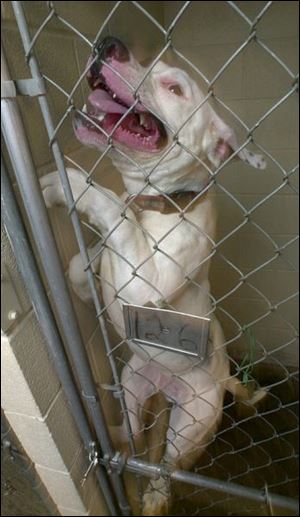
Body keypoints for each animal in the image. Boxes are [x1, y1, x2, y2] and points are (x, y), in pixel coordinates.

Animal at [40, 36, 268, 512]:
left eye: (174, 88)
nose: (108, 43)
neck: (158, 202)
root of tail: (224, 378)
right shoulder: (105, 271)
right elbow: (82, 263)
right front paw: (86, 267)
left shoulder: (148, 283)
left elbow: (115, 209)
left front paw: (75, 184)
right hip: (133, 385)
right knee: (132, 437)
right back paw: (111, 439)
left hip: (190, 424)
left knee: (167, 468)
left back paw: (152, 497)